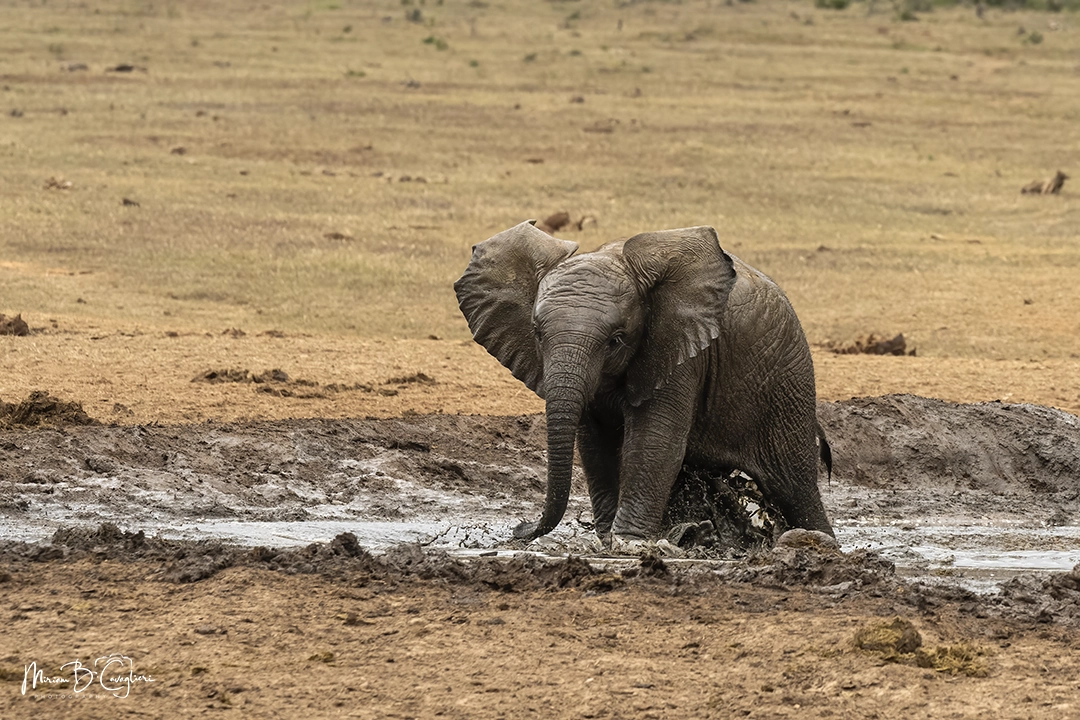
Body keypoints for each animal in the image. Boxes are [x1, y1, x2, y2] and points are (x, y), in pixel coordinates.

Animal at [454, 220, 833, 547]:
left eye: (616, 339)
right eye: (536, 333)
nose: (519, 529)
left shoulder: (680, 351)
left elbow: (654, 441)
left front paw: (629, 542)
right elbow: (596, 446)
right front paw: (609, 539)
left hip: (787, 383)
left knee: (795, 486)